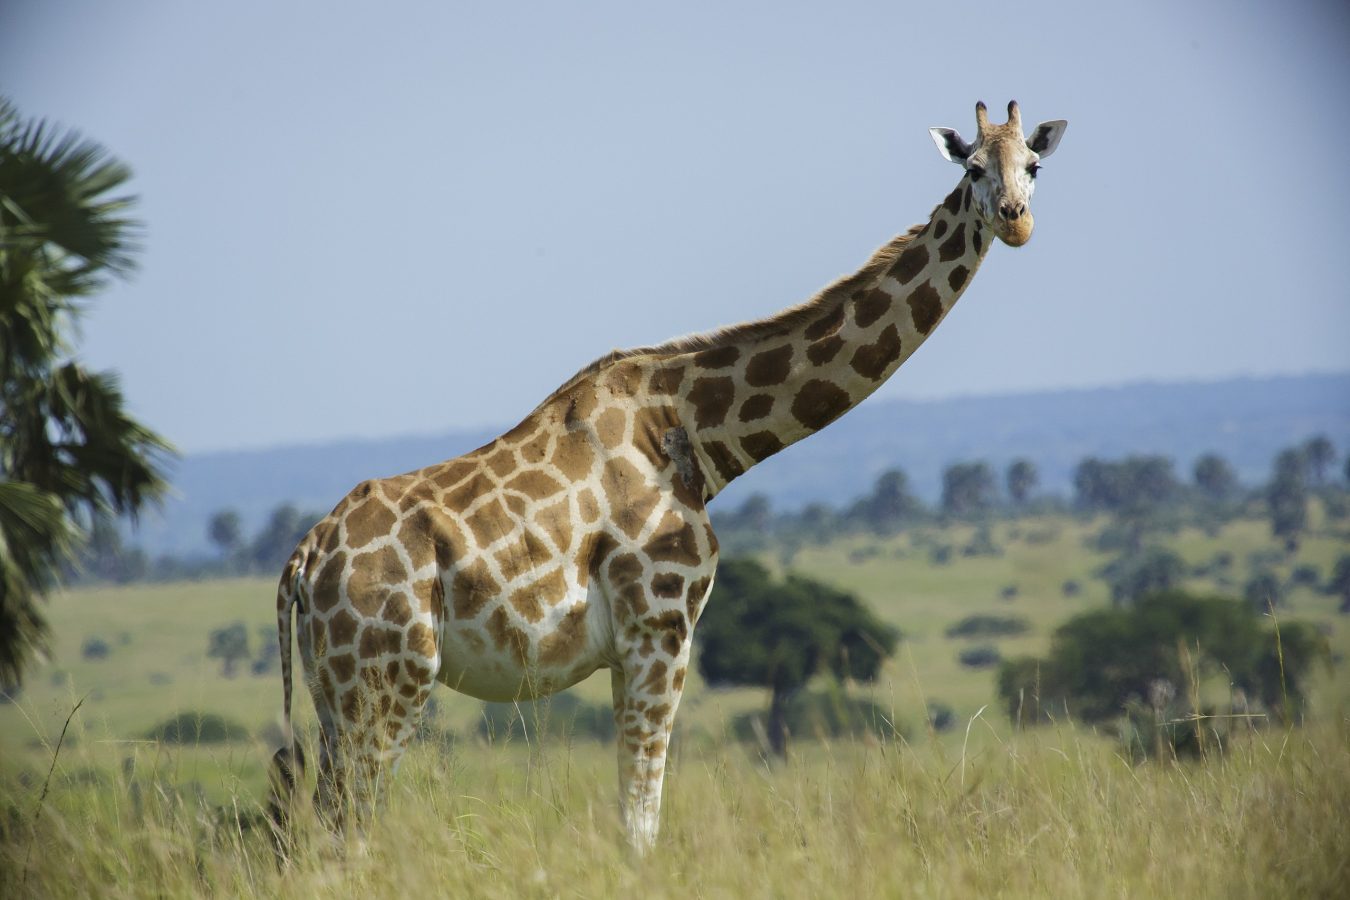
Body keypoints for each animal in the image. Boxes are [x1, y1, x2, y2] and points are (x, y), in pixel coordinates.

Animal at [271, 101, 1063, 858]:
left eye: (1033, 165)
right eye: (972, 169)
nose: (1016, 222)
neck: (697, 434)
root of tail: (304, 561)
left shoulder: (634, 646)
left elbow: (635, 812)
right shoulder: (661, 627)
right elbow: (641, 819)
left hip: (336, 692)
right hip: (388, 680)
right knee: (348, 827)